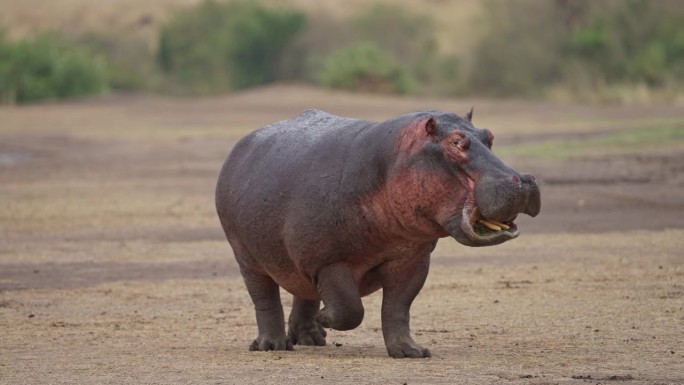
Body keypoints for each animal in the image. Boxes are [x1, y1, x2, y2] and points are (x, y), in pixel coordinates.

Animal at [214, 109, 540, 356]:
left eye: (489, 136)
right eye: (456, 142)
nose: (524, 180)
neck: (391, 162)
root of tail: (241, 144)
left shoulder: (413, 260)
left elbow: (398, 308)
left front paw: (410, 352)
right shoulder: (328, 262)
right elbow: (349, 309)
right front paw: (326, 317)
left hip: (297, 260)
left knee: (303, 292)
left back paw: (312, 338)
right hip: (247, 257)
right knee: (265, 299)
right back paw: (272, 345)